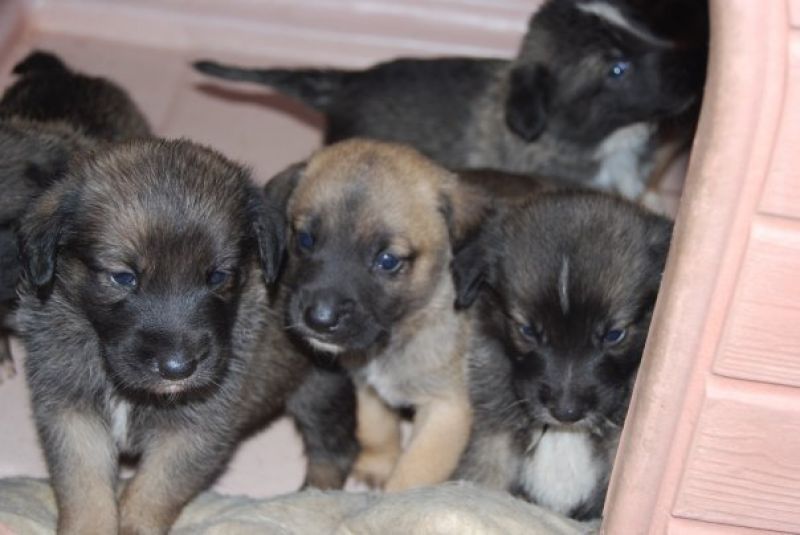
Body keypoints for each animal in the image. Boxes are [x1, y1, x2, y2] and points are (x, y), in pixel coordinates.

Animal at [454, 192, 672, 520]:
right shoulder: (494, 438)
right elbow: (481, 479)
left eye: (614, 335)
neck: (565, 434)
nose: (566, 413)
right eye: (527, 330)